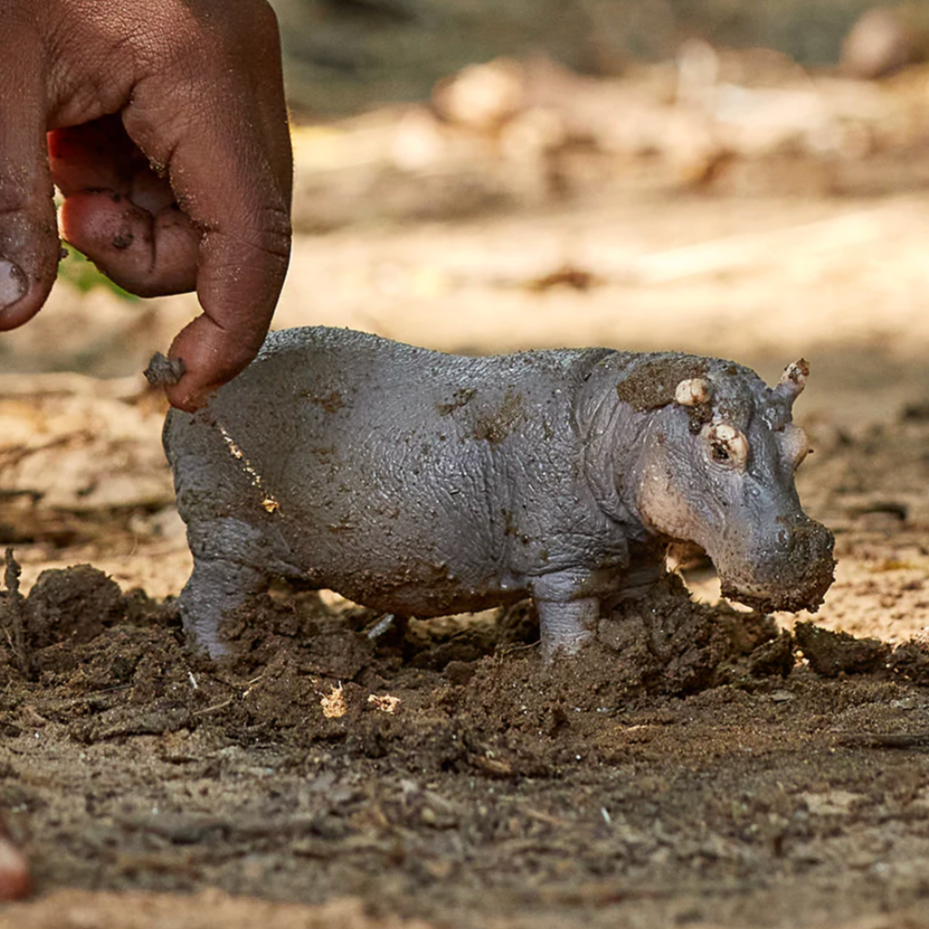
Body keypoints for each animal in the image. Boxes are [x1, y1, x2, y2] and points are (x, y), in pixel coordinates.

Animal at [163, 326, 836, 660]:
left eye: (803, 446)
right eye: (721, 447)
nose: (807, 548)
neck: (623, 421)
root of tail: (177, 386)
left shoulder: (639, 551)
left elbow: (649, 601)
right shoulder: (565, 559)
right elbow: (571, 622)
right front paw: (576, 677)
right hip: (228, 532)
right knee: (204, 599)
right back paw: (225, 664)